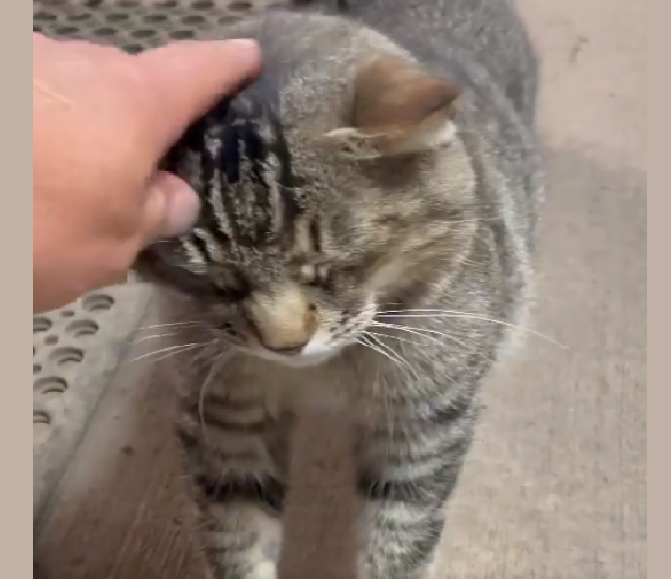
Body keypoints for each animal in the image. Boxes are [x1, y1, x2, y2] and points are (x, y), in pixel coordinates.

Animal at [134, 2, 544, 576]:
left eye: (325, 268)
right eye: (219, 282)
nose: (285, 344)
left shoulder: (423, 427)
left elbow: (400, 540)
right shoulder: (224, 418)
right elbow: (238, 534)